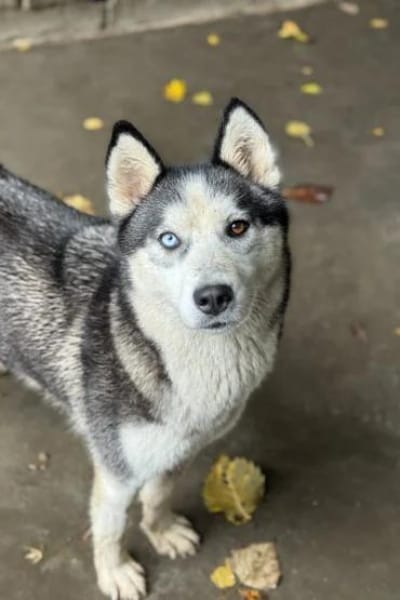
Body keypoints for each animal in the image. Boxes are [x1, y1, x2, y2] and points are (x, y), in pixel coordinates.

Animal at [0, 98, 290, 599]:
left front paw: (162, 531)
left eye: (237, 227)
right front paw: (114, 572)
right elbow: (111, 527)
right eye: (169, 239)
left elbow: (157, 497)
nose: (213, 297)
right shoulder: (116, 469)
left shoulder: (178, 449)